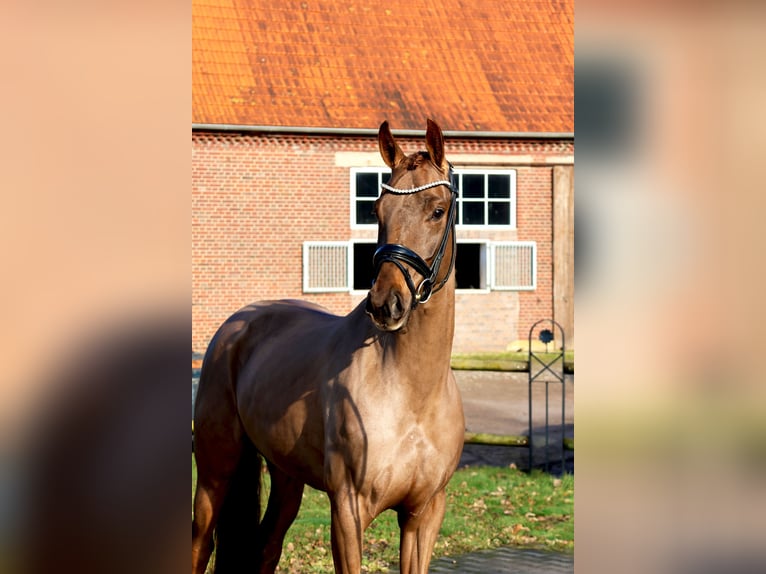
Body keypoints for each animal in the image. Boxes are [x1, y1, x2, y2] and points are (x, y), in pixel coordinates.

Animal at [195, 119, 464, 572]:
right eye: (377, 211)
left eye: (437, 210)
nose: (386, 304)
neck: (411, 394)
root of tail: (233, 329)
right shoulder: (348, 509)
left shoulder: (425, 514)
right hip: (216, 473)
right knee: (201, 545)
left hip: (286, 477)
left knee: (266, 547)